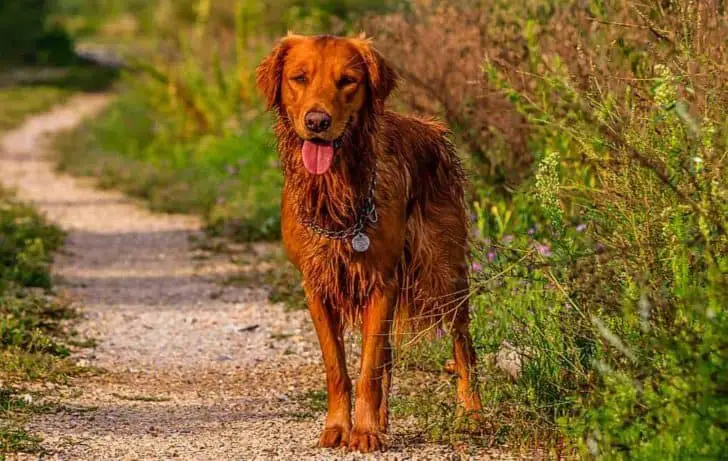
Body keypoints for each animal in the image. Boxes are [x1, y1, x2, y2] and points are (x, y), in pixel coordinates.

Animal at [256, 34, 484, 452]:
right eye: (299, 78)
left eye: (348, 81)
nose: (317, 122)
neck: (336, 192)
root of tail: (433, 129)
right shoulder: (317, 285)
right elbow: (339, 368)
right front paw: (339, 426)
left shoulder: (383, 282)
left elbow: (369, 368)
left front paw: (363, 431)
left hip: (444, 270)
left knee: (463, 345)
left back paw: (473, 413)